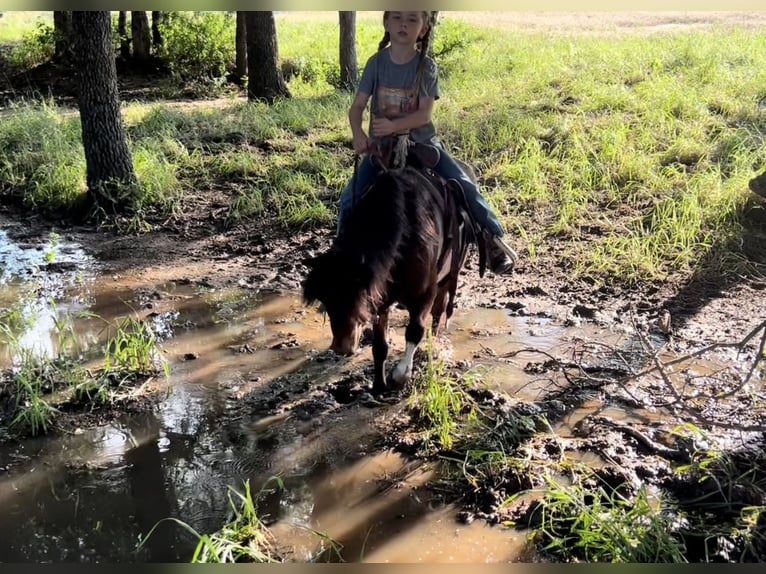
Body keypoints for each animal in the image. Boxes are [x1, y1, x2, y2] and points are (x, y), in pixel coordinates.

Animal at [304, 155, 476, 394]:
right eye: (326, 300)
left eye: (353, 297)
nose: (340, 347)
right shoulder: (381, 299)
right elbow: (380, 346)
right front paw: (378, 386)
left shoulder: (424, 295)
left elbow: (415, 331)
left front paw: (400, 376)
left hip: (450, 276)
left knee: (439, 312)